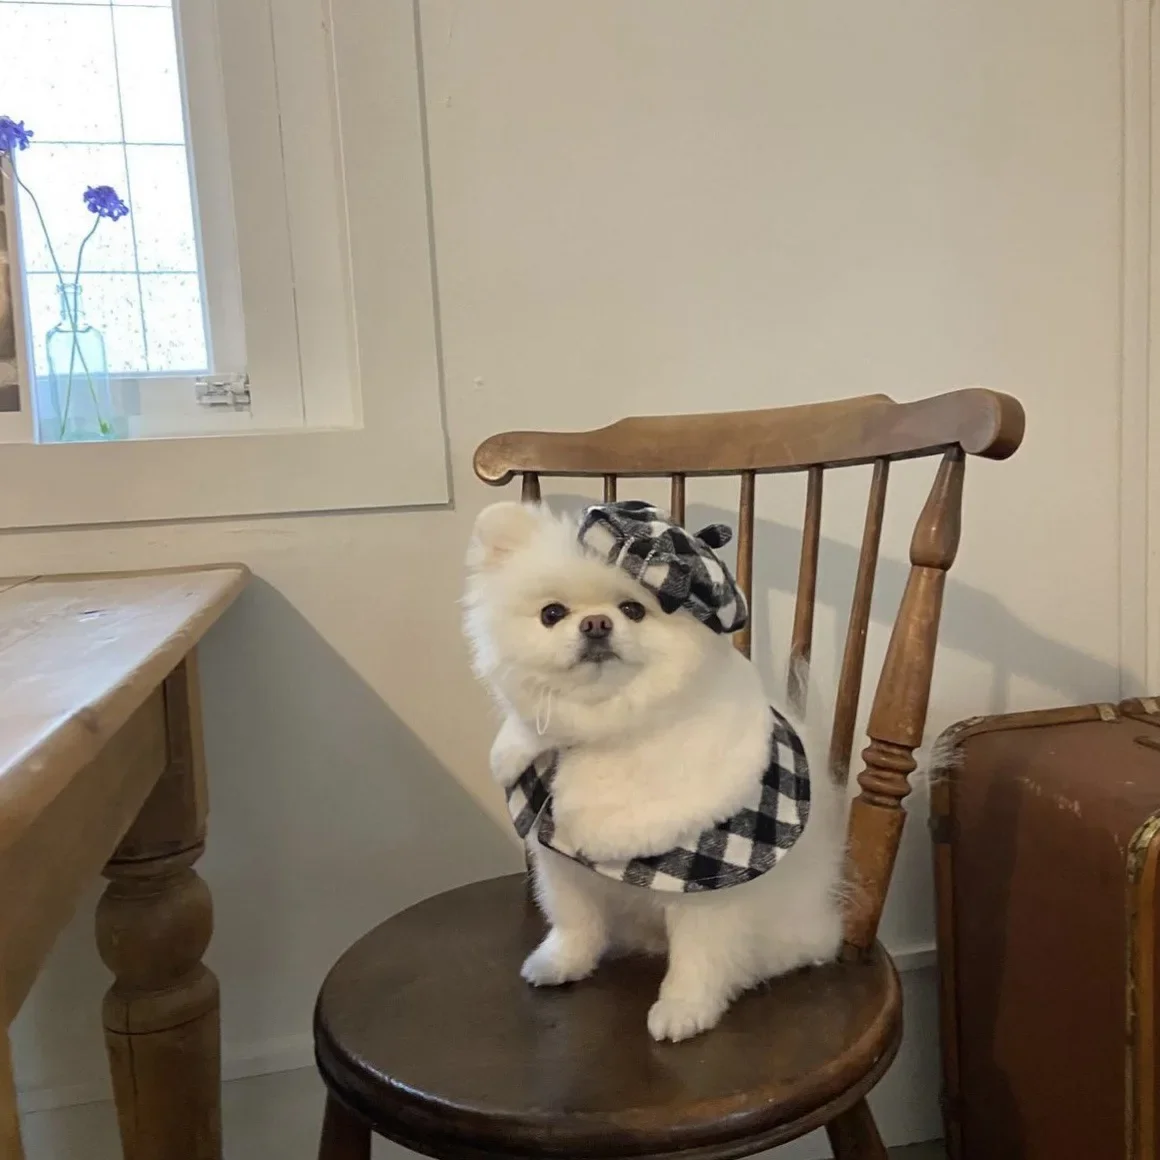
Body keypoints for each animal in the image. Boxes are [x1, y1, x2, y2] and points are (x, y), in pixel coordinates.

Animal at [463, 499, 846, 1042]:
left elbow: (699, 958)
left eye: (633, 610)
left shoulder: (706, 882)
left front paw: (686, 1009)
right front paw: (563, 962)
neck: (606, 728)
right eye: (551, 614)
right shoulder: (559, 857)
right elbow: (574, 920)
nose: (596, 624)